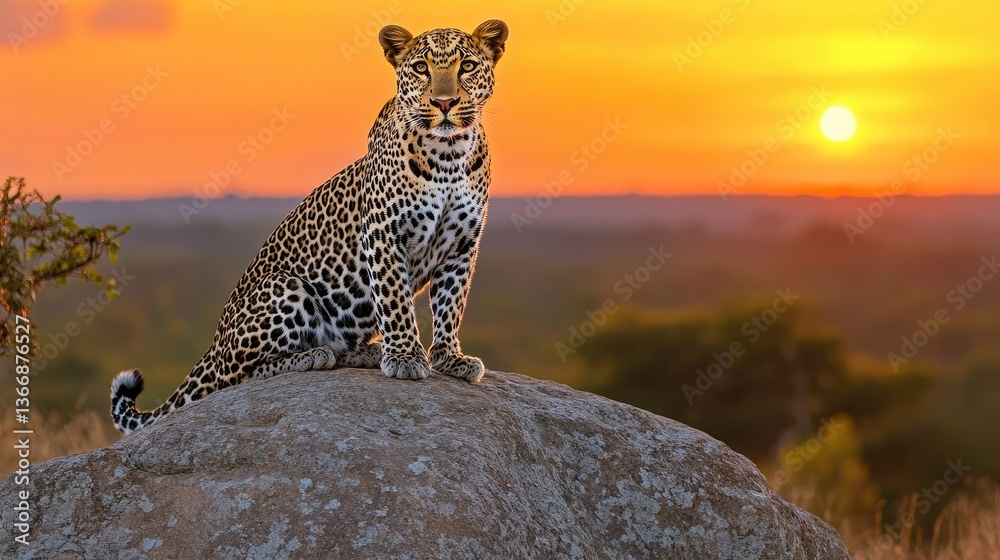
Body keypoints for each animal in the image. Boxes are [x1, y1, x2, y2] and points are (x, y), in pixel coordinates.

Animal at [110, 19, 508, 434]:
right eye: (420, 68)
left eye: (466, 66)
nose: (444, 103)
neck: (449, 155)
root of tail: (215, 344)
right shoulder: (384, 234)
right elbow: (395, 299)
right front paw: (404, 357)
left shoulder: (462, 246)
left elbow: (451, 303)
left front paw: (449, 357)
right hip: (287, 287)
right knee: (237, 377)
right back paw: (314, 356)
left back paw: (364, 352)